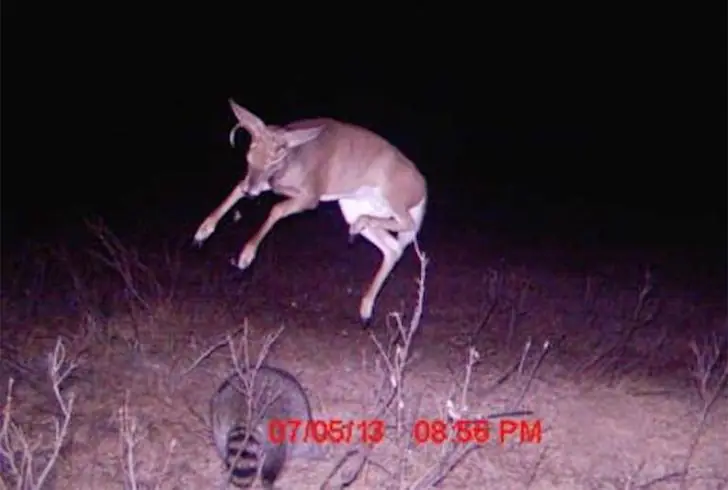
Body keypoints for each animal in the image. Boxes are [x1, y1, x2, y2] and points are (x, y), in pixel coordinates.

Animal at [193, 99, 428, 326]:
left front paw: (245, 256)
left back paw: (360, 228)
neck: (293, 161)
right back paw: (365, 310)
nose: (252, 193)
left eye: (273, 161)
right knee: (393, 247)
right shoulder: (270, 184)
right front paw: (202, 232)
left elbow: (276, 208)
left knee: (407, 225)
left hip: (394, 196)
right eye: (249, 157)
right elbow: (238, 188)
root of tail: (423, 190)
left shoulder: (311, 195)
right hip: (352, 205)